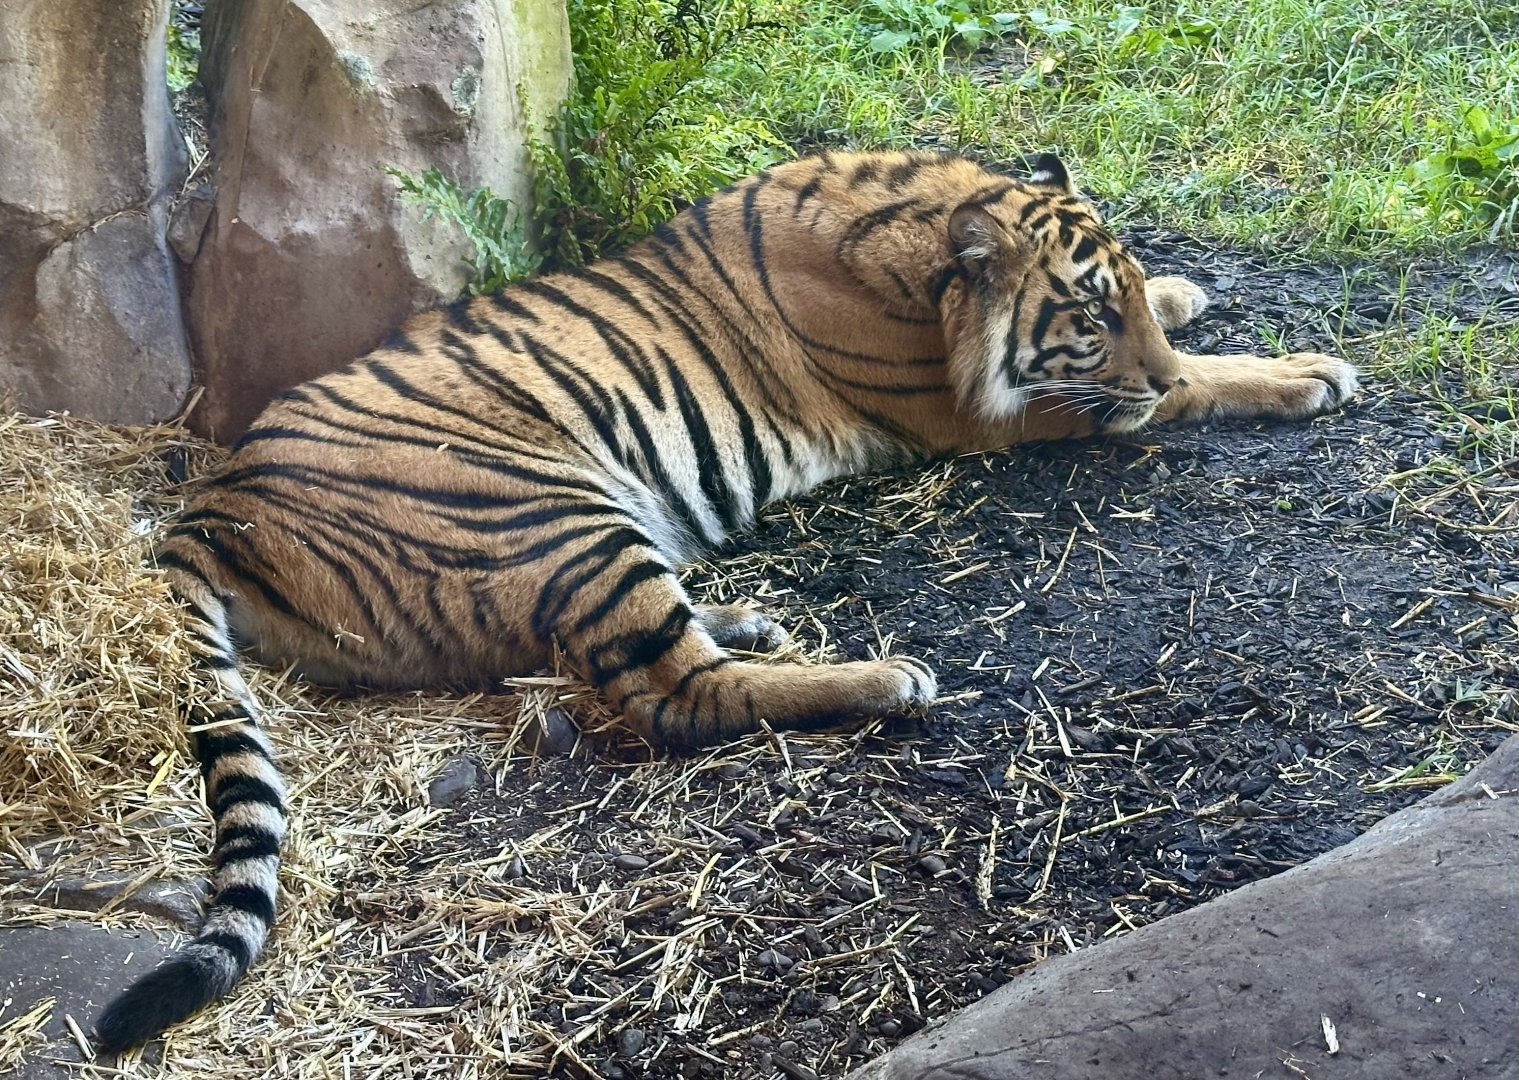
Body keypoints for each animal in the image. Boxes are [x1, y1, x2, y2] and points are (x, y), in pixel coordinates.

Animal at [94, 149, 1357, 1050]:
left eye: (1121, 296)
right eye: (1086, 319)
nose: (1139, 349)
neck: (921, 239)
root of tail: (217, 496)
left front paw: (1193, 294)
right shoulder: (978, 413)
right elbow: (1176, 395)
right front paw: (1298, 373)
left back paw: (752, 618)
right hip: (556, 515)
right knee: (674, 696)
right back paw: (885, 677)